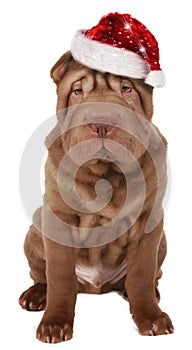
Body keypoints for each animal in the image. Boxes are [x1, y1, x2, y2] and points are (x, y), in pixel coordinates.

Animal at [18, 49, 173, 342]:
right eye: (78, 91)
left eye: (127, 89)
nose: (101, 123)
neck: (106, 174)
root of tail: (96, 286)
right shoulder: (58, 218)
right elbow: (60, 278)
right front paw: (54, 324)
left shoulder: (149, 222)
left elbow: (142, 274)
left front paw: (151, 318)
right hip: (35, 227)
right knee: (43, 275)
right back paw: (36, 295)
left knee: (148, 277)